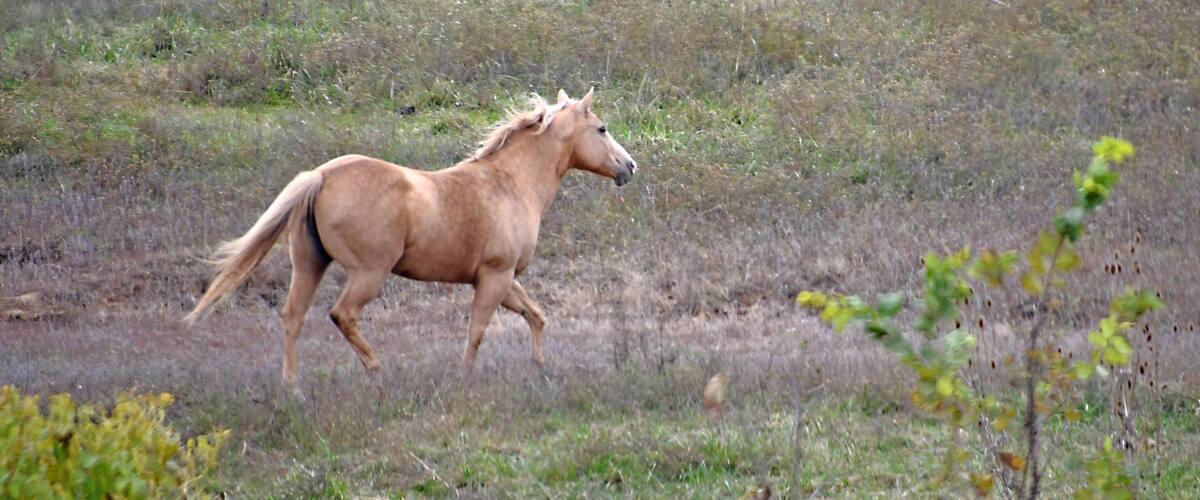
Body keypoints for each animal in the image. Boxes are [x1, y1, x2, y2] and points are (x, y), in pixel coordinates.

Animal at [183, 89, 637, 386]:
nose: (629, 166)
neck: (509, 183)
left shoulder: (505, 279)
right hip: (368, 273)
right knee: (342, 314)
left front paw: (538, 367)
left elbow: (536, 316)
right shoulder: (495, 276)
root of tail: (323, 175)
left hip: (309, 265)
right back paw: (375, 369)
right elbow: (478, 330)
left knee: (292, 318)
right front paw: (464, 377)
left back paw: (292, 386)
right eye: (602, 128)